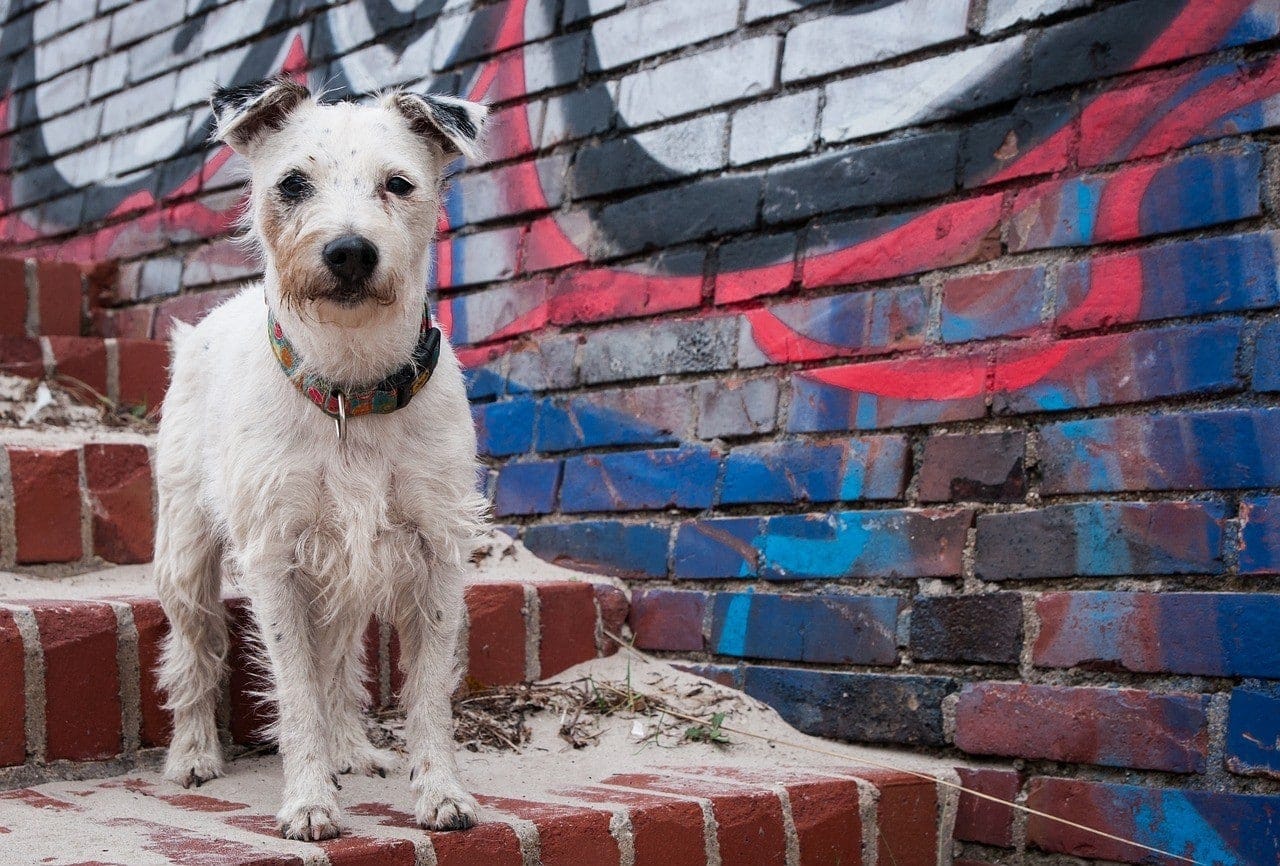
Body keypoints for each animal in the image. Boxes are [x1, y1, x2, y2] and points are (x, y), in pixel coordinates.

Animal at [151, 79, 488, 839]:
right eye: (293, 184)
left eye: (399, 184)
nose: (349, 252)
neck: (351, 389)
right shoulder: (275, 558)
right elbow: (297, 690)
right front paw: (308, 800)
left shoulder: (436, 553)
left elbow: (428, 692)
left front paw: (440, 791)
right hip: (185, 556)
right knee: (195, 653)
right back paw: (193, 753)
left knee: (338, 662)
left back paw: (351, 749)